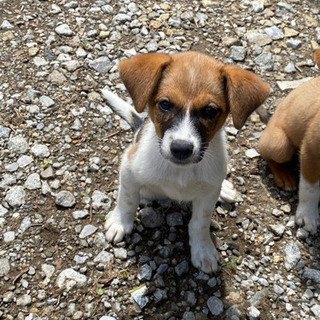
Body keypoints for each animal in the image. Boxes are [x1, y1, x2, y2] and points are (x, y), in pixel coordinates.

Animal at [104, 52, 268, 272]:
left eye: (210, 110)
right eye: (165, 104)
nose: (181, 148)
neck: (181, 171)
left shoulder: (207, 195)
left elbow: (200, 223)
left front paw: (203, 250)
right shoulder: (129, 169)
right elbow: (127, 200)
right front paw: (120, 223)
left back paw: (225, 189)